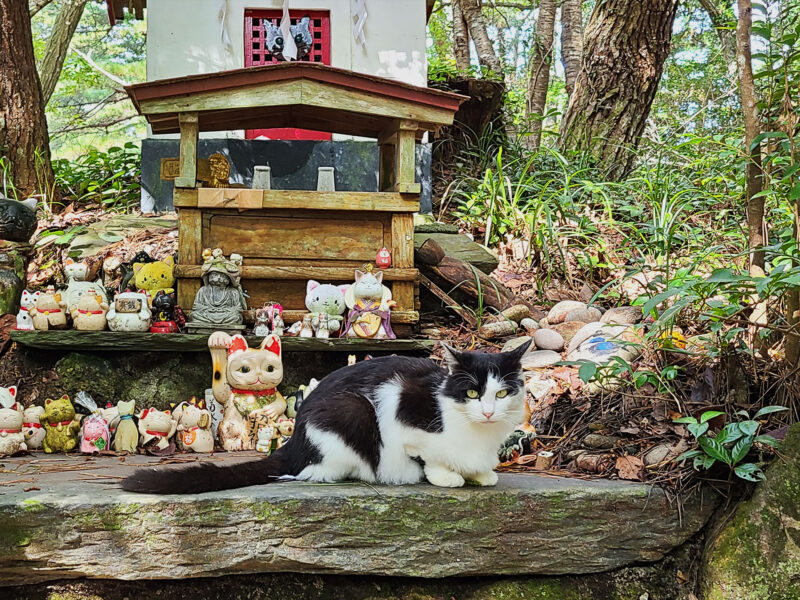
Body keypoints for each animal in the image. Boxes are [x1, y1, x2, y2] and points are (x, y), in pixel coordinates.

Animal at [122, 340, 528, 494]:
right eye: (472, 393)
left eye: (502, 394)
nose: (488, 412)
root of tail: (293, 443)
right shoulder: (400, 409)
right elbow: (426, 456)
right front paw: (448, 476)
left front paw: (480, 473)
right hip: (349, 412)